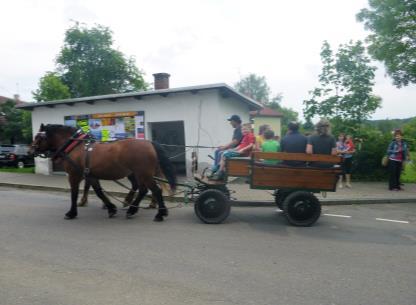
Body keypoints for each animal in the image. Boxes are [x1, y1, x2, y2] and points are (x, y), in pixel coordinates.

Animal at [31, 123, 176, 221]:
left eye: (38, 137)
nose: (30, 151)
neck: (76, 147)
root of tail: (149, 143)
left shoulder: (74, 176)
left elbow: (74, 194)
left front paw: (71, 213)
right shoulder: (90, 175)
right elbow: (98, 191)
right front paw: (111, 208)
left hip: (143, 173)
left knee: (154, 190)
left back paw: (159, 213)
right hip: (141, 174)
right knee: (144, 190)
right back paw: (134, 209)